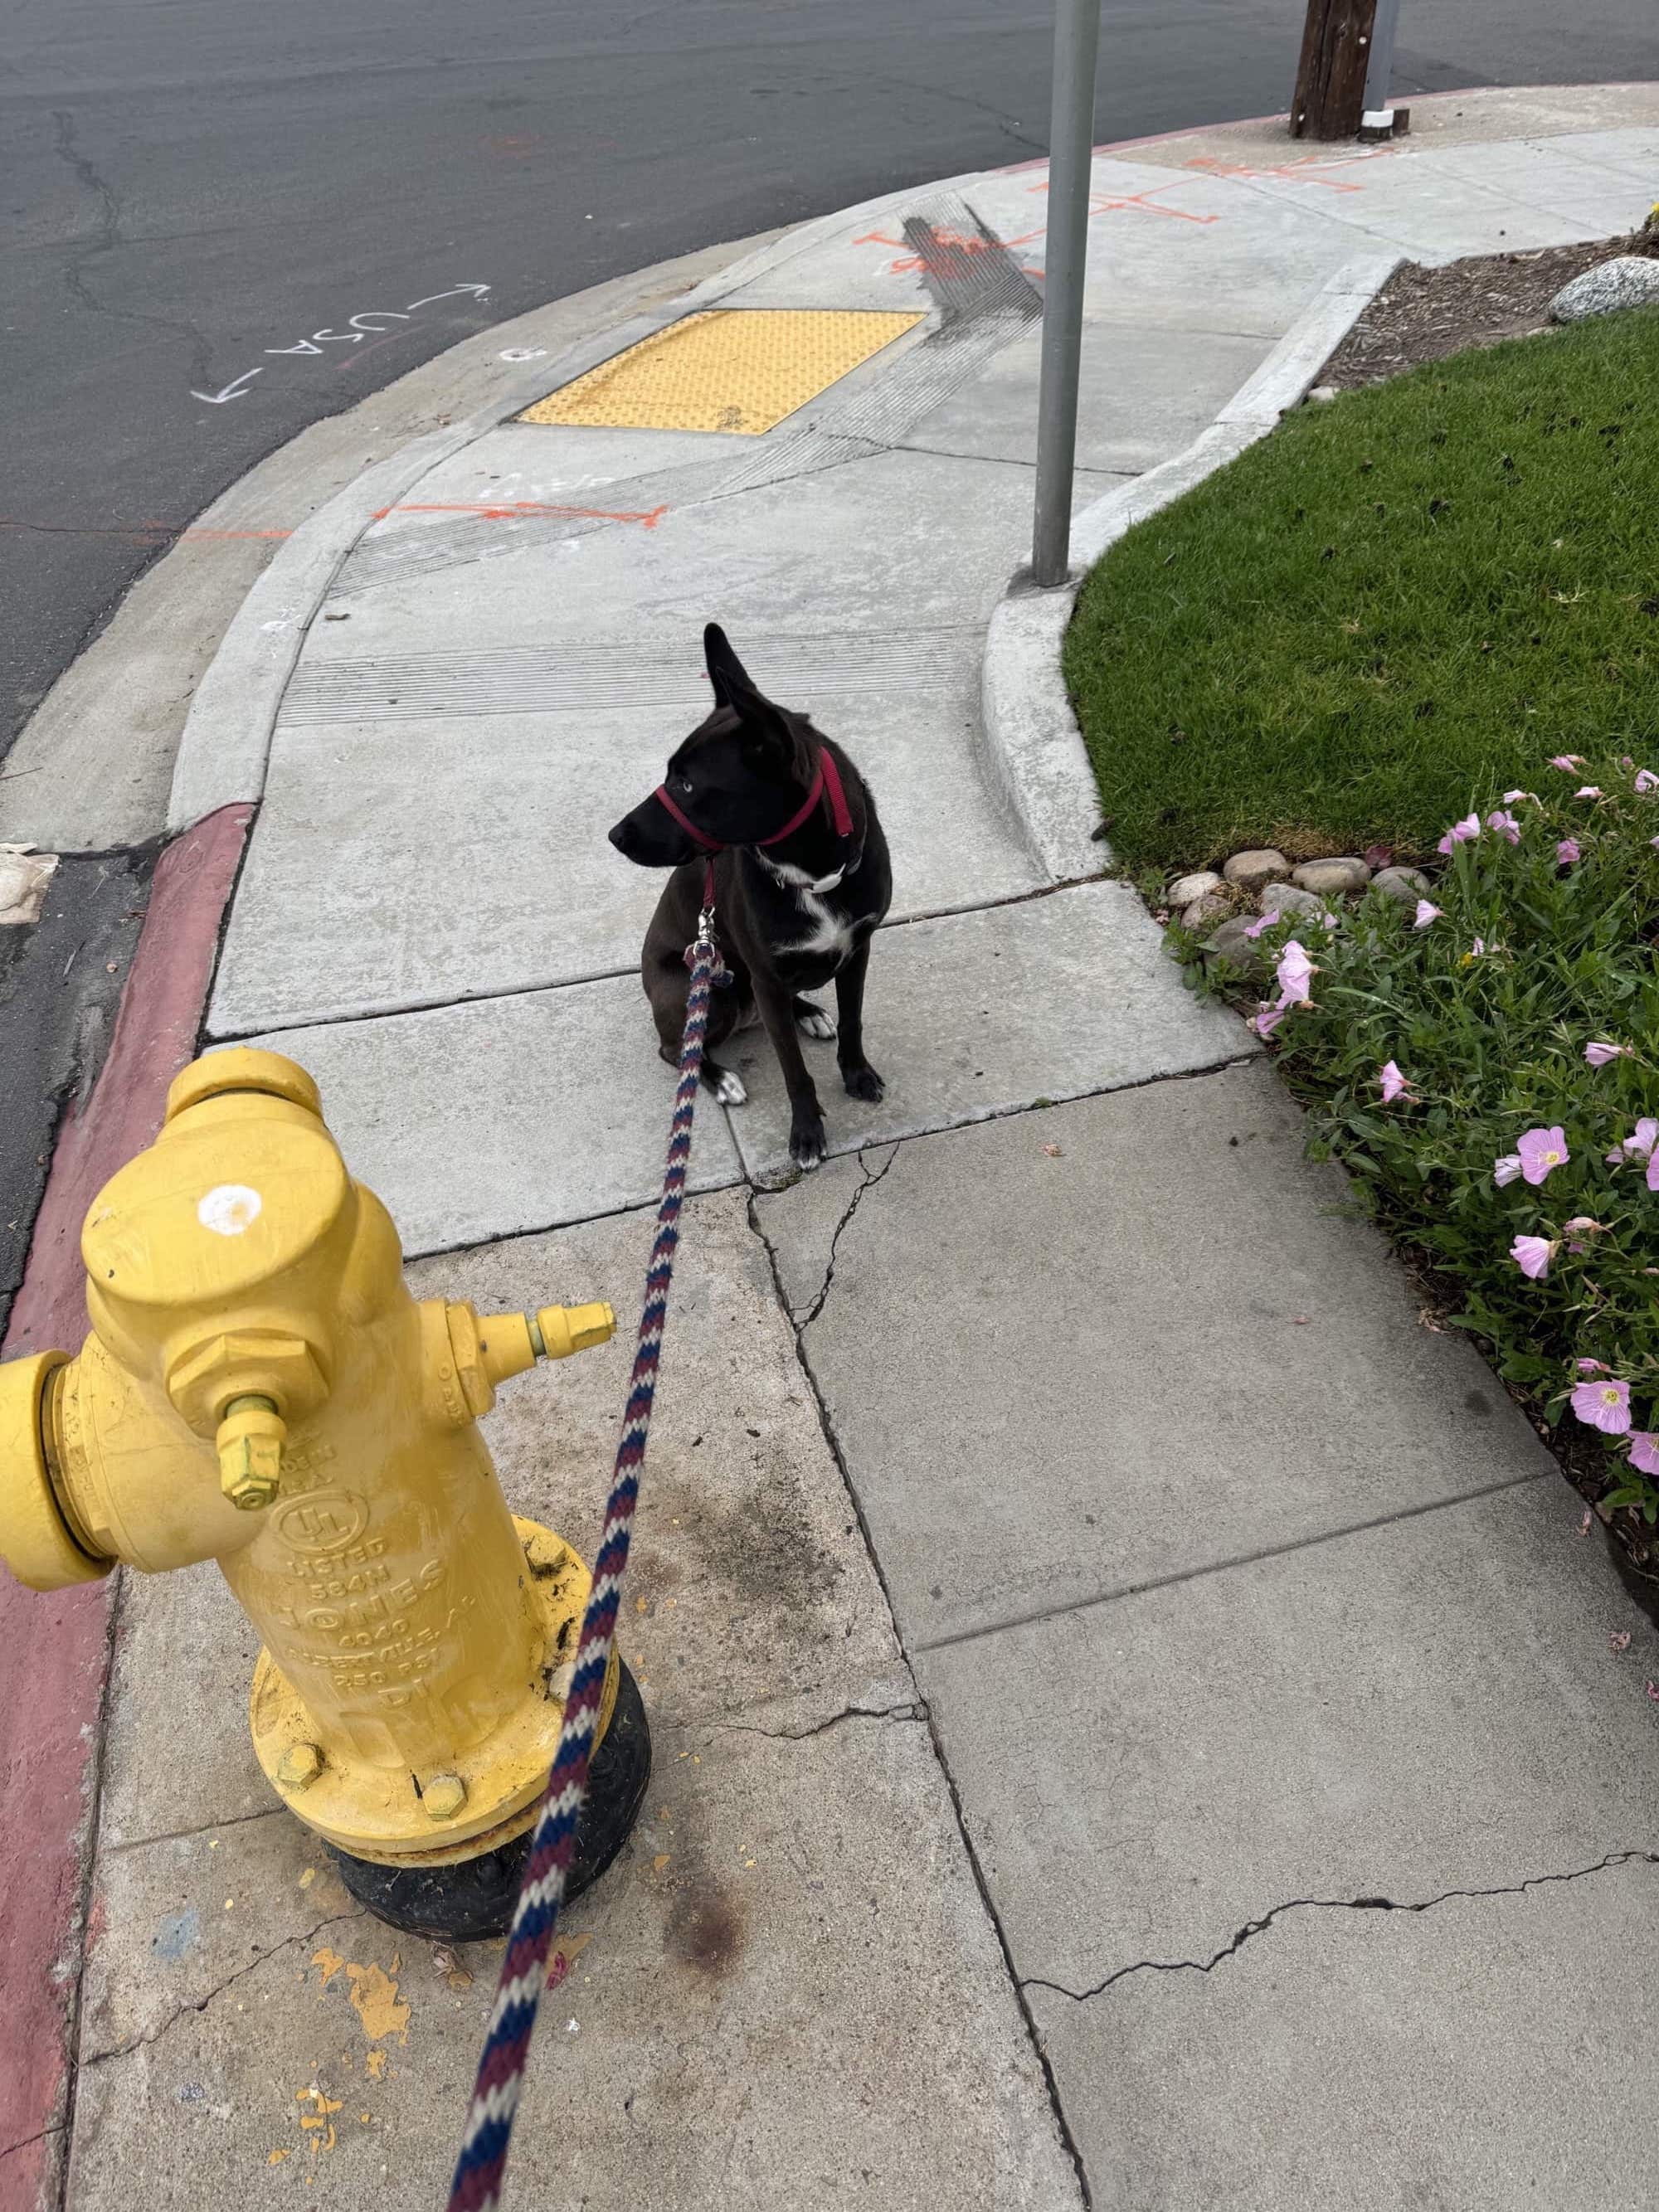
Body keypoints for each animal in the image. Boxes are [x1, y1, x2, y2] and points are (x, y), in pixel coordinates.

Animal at [611, 624, 898, 1176]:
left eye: (686, 784)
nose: (614, 836)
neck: (811, 873)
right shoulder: (765, 975)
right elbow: (793, 1069)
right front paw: (806, 1135)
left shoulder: (859, 949)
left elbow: (852, 1022)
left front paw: (856, 1075)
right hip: (707, 992)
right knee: (675, 1050)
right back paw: (719, 1077)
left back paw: (808, 1012)